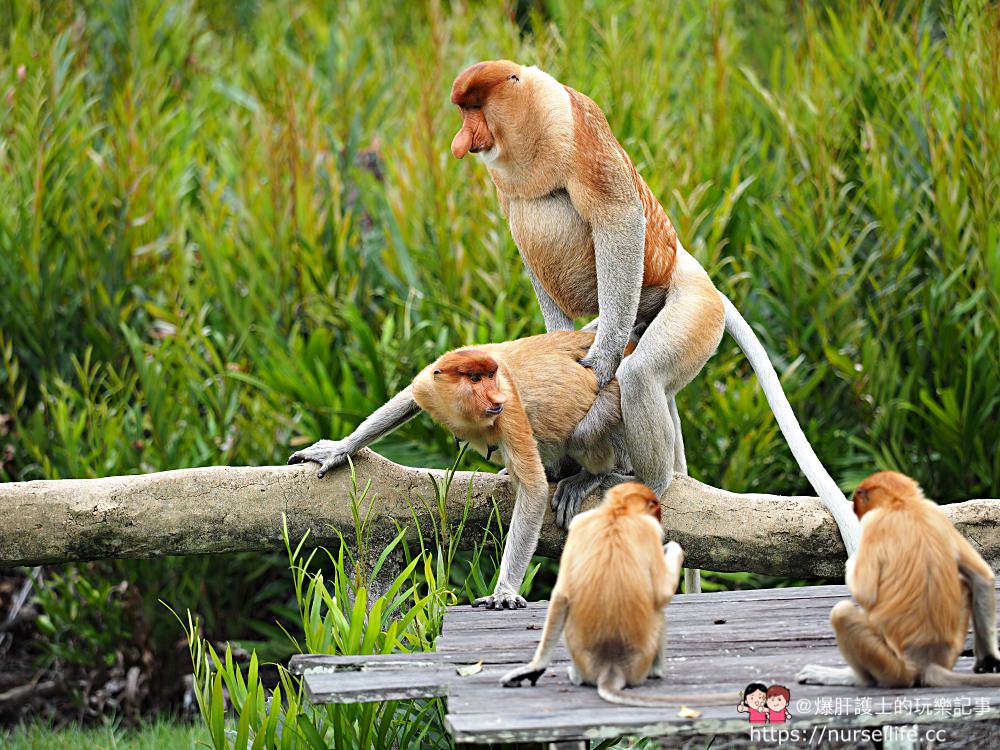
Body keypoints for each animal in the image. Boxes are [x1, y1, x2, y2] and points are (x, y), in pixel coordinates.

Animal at [450, 60, 864, 576]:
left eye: (475, 108)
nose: (461, 140)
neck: (530, 119)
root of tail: (691, 268)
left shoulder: (579, 131)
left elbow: (620, 218)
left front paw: (599, 364)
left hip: (695, 310)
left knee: (643, 374)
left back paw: (633, 480)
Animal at [504, 484, 740, 708]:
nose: (660, 516)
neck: (617, 513)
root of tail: (611, 665)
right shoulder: (648, 530)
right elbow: (662, 591)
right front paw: (671, 548)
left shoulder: (580, 524)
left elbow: (561, 594)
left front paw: (533, 669)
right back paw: (656, 672)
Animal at [796, 472, 1000, 692]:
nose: (855, 509)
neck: (901, 504)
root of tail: (924, 664)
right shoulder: (936, 514)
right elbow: (982, 576)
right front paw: (988, 662)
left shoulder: (874, 523)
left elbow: (865, 591)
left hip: (892, 665)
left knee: (842, 613)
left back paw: (851, 678)